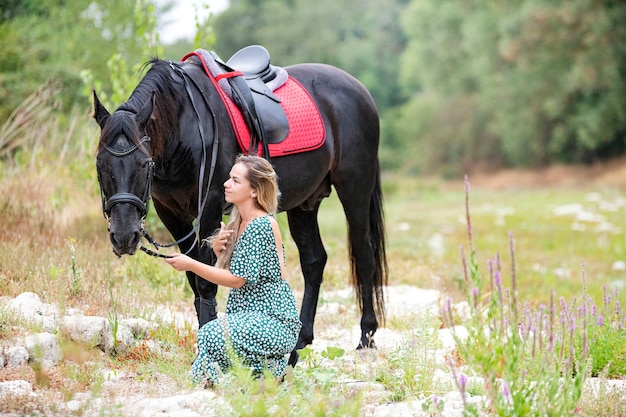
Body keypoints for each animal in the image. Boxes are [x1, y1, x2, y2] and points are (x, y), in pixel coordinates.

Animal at [92, 49, 386, 360]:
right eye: (100, 164)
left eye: (144, 163)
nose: (124, 236)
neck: (183, 122)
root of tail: (360, 91)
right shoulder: (171, 213)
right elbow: (193, 276)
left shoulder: (208, 206)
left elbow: (206, 281)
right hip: (304, 203)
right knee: (314, 260)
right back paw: (300, 339)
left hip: (355, 189)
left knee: (364, 255)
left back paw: (366, 338)